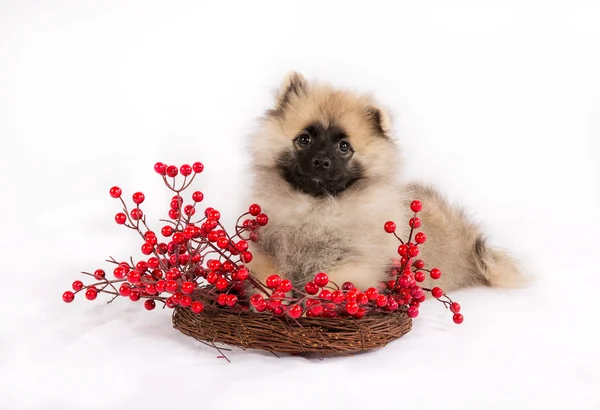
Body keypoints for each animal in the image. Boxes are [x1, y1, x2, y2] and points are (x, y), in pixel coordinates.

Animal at [244, 72, 524, 296]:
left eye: (343, 147)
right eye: (304, 139)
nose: (321, 161)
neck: (316, 206)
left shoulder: (352, 263)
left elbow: (329, 287)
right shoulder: (267, 250)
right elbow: (268, 276)